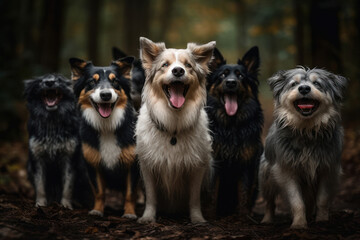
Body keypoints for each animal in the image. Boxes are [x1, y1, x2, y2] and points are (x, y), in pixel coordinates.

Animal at [24, 74, 88, 209]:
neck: (52, 120)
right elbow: (40, 185)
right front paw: (40, 204)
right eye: (41, 81)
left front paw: (66, 205)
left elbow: (68, 186)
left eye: (58, 79)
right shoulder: (37, 158)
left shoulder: (70, 158)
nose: (49, 82)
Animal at [69, 57, 139, 218]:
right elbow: (99, 192)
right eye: (92, 82)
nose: (106, 95)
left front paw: (130, 213)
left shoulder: (133, 164)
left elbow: (130, 193)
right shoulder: (93, 163)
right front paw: (97, 210)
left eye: (115, 82)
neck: (107, 126)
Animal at [134, 37, 214, 223]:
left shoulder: (197, 166)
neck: (173, 126)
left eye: (188, 65)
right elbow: (151, 197)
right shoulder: (148, 166)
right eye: (165, 65)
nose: (178, 70)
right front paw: (148, 217)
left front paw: (197, 219)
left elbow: (194, 198)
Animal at [205, 47, 264, 216]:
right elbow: (211, 192)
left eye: (240, 76)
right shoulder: (214, 161)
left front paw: (244, 216)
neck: (230, 125)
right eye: (222, 75)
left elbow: (244, 192)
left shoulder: (247, 163)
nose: (231, 83)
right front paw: (209, 216)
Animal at [260, 66, 348, 228]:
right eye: (294, 84)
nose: (304, 88)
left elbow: (322, 199)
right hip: (266, 176)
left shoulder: (328, 169)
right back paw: (267, 220)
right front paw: (299, 224)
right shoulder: (286, 171)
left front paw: (322, 220)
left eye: (317, 83)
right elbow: (297, 202)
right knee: (269, 202)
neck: (306, 130)